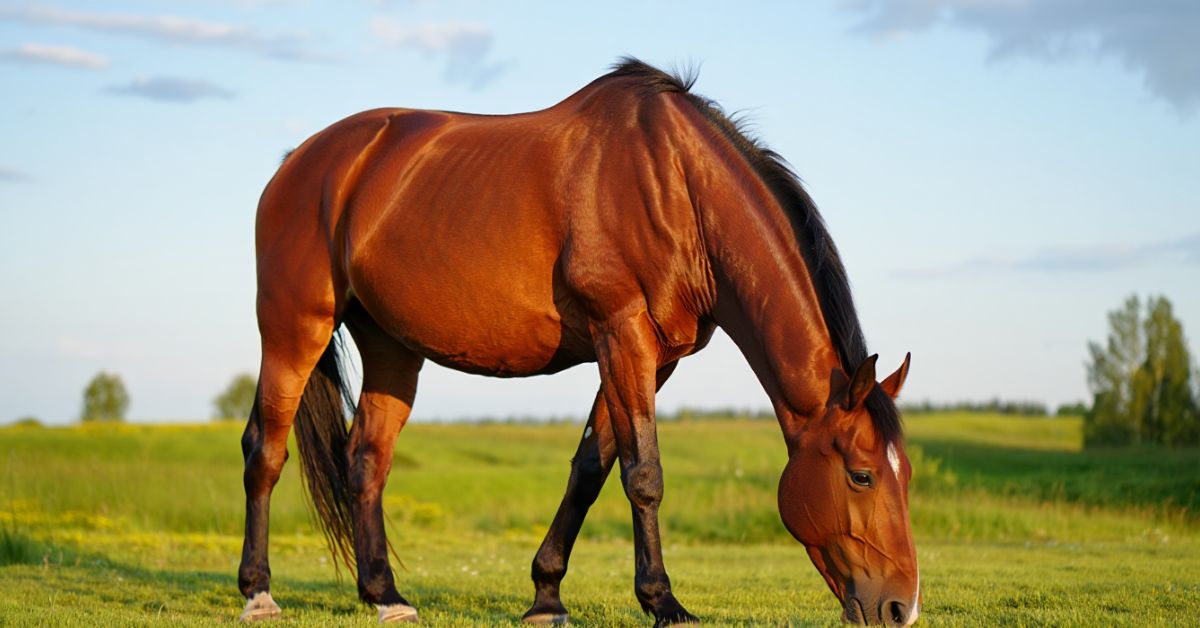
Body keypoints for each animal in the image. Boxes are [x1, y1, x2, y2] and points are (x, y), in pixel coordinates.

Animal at [238, 58, 919, 626]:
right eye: (862, 476)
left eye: (905, 472)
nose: (901, 607)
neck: (677, 187)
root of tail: (300, 161)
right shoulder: (622, 334)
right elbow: (643, 474)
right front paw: (663, 602)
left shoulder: (652, 357)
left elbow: (592, 468)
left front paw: (546, 596)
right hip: (294, 327)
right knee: (264, 450)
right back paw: (258, 592)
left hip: (389, 346)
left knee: (366, 461)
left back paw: (387, 596)